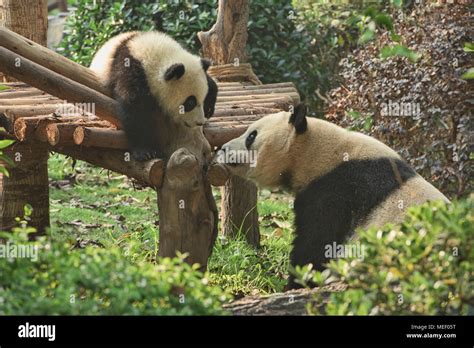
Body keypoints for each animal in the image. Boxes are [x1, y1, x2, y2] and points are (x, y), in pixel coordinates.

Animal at [90, 30, 218, 161]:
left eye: (203, 100)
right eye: (190, 103)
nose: (199, 122)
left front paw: (209, 108)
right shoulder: (129, 70)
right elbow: (135, 108)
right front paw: (146, 151)